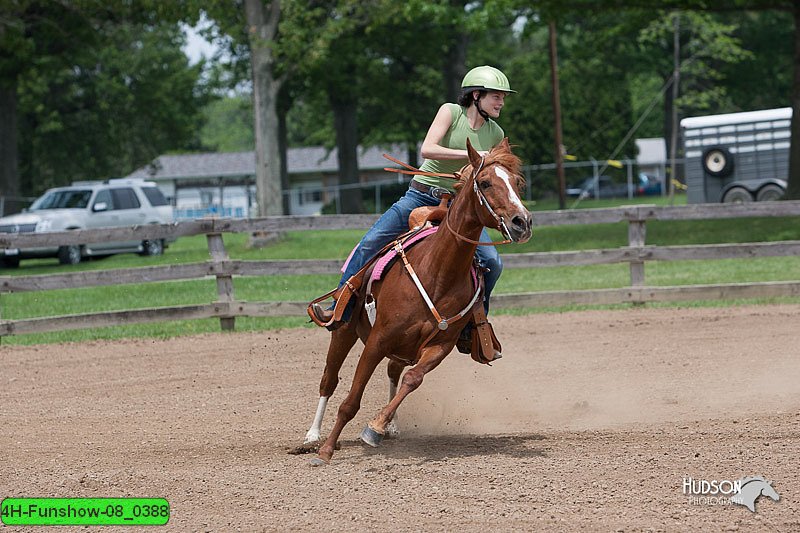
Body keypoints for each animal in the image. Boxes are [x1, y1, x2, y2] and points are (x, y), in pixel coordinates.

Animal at [304, 139, 528, 464]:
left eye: (517, 182)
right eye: (485, 183)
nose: (522, 222)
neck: (437, 273)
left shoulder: (440, 346)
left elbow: (412, 379)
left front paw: (377, 426)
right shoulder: (377, 340)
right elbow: (351, 400)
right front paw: (326, 451)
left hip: (401, 348)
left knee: (393, 372)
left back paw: (391, 427)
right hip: (344, 331)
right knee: (329, 379)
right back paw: (313, 435)